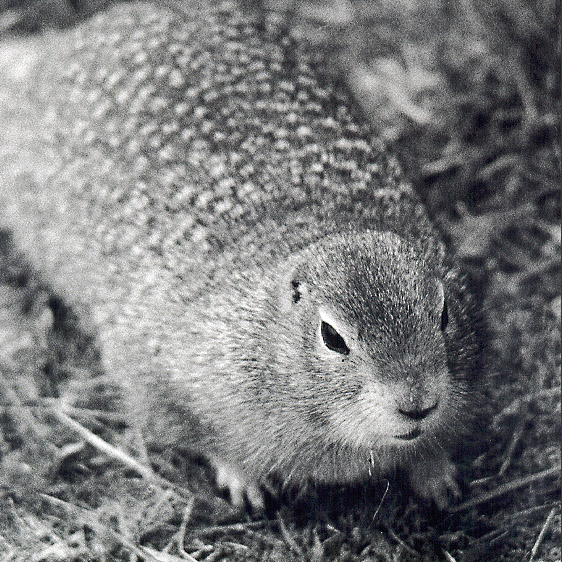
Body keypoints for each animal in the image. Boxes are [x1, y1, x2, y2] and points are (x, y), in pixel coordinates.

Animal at [0, 0, 482, 508]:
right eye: (332, 337)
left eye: (444, 313)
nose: (417, 404)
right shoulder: (158, 374)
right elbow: (201, 434)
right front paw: (242, 480)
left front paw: (437, 474)